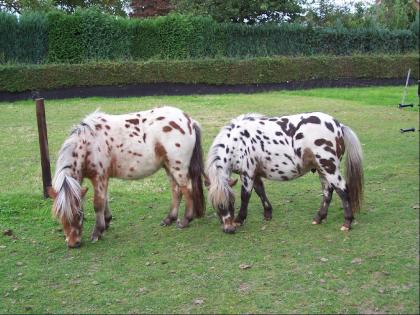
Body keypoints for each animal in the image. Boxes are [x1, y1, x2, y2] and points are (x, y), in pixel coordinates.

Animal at [48, 107, 206, 249]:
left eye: (79, 213)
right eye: (59, 215)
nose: (73, 243)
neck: (88, 144)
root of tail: (189, 121)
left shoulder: (99, 177)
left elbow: (98, 203)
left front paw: (97, 232)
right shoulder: (103, 179)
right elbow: (105, 200)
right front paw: (107, 221)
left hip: (178, 167)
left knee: (187, 190)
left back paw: (185, 220)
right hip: (169, 167)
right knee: (176, 191)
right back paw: (169, 219)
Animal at [205, 112, 362, 233]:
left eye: (231, 201)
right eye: (216, 204)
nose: (229, 229)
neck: (237, 143)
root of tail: (339, 126)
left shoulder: (247, 173)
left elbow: (245, 196)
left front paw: (239, 219)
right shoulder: (255, 174)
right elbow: (260, 191)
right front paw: (268, 214)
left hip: (329, 168)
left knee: (342, 190)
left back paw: (347, 223)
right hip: (322, 170)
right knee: (328, 192)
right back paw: (319, 218)